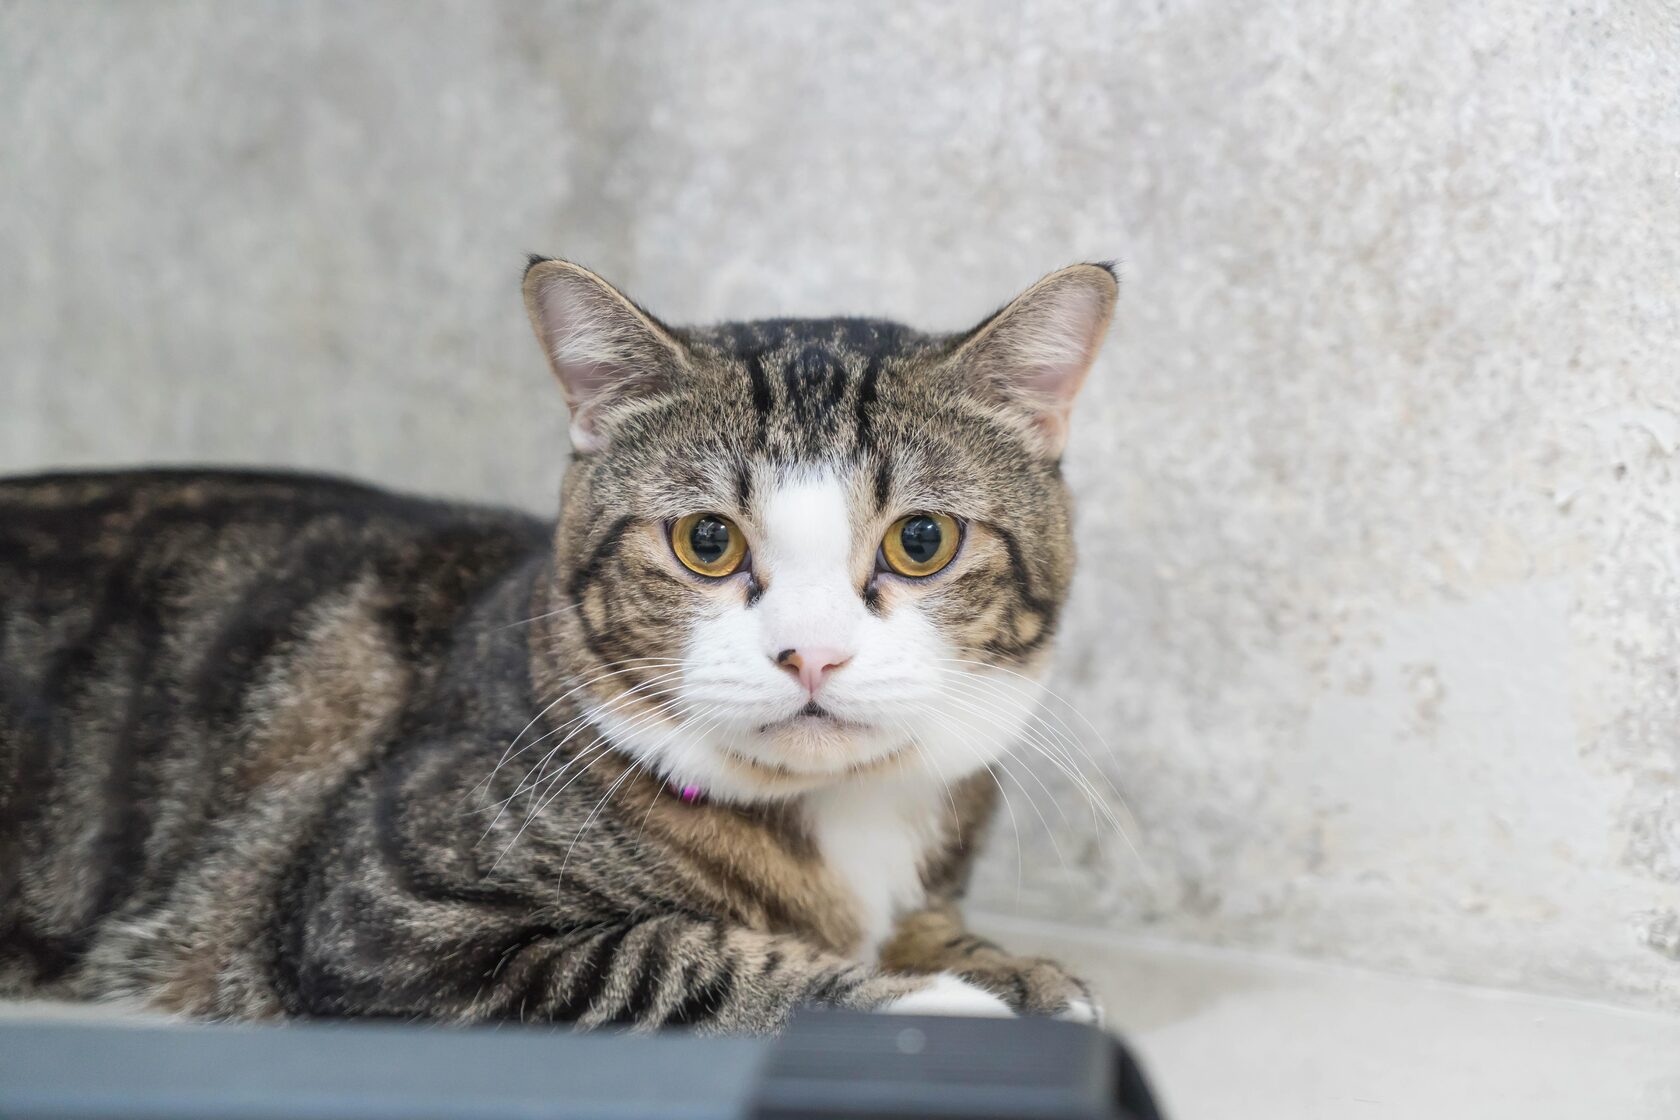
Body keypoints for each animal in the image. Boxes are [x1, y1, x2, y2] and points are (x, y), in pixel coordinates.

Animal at [0, 257, 1118, 1031]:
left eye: (921, 541)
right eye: (706, 541)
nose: (812, 654)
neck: (842, 817)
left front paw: (1009, 967)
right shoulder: (376, 917)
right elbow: (670, 957)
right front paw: (934, 1003)